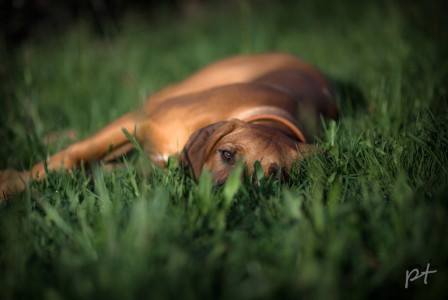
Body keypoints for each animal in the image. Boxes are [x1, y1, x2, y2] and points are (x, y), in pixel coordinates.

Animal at [0, 52, 336, 197]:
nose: (226, 196)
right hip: (169, 94)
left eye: (273, 177)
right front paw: (11, 185)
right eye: (227, 154)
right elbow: (73, 156)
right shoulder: (140, 121)